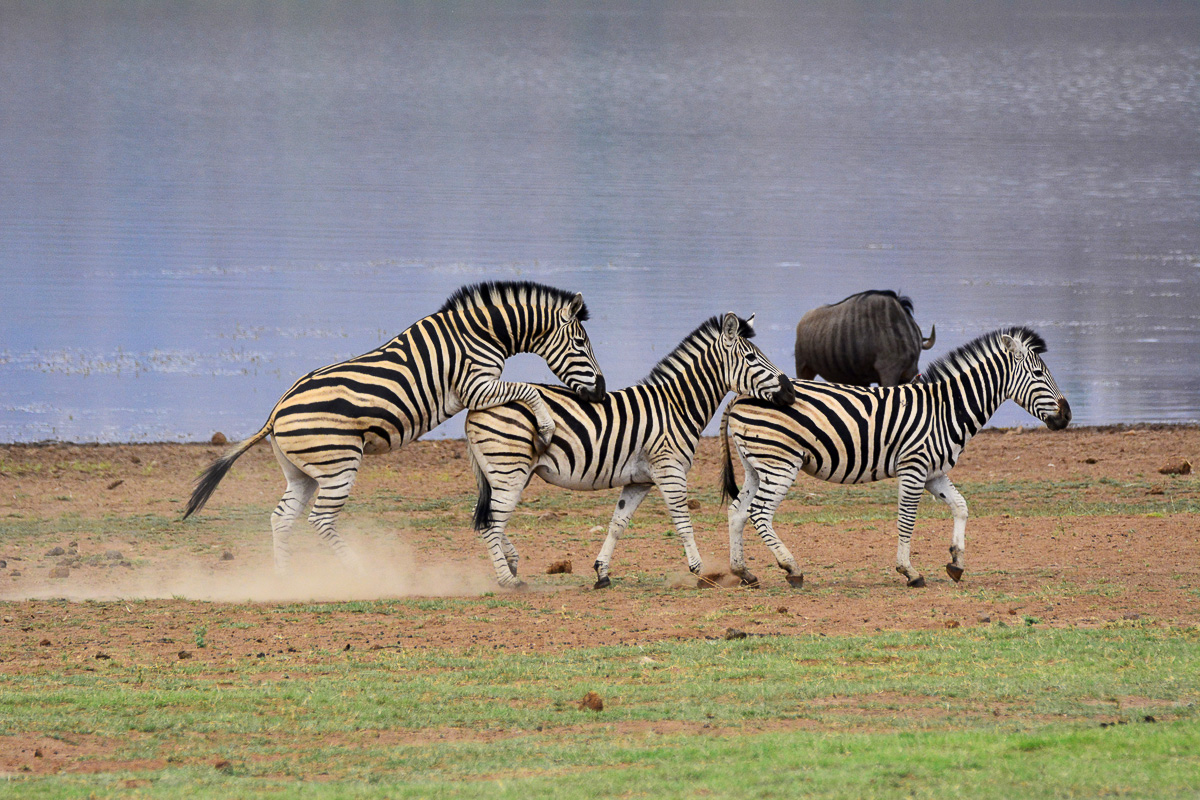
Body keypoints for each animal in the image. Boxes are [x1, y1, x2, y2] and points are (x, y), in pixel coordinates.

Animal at [183, 280, 606, 573]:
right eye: (581, 344)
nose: (602, 391)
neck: (481, 333)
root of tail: (276, 411)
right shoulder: (476, 385)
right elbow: (527, 390)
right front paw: (547, 427)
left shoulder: (480, 389)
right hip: (338, 466)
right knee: (320, 520)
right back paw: (357, 569)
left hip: (302, 473)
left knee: (281, 519)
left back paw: (284, 578)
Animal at [465, 312, 795, 589]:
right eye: (751, 357)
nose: (791, 391)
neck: (676, 405)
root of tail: (475, 407)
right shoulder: (670, 471)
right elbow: (683, 522)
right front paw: (700, 572)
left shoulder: (639, 481)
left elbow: (617, 525)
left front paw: (602, 572)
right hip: (510, 470)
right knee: (492, 525)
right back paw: (508, 579)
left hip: (506, 473)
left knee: (486, 520)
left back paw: (510, 563)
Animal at [720, 326, 1070, 588]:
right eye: (1038, 373)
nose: (1067, 415)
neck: (945, 410)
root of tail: (740, 395)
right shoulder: (914, 468)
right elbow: (907, 520)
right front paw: (909, 571)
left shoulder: (934, 473)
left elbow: (961, 507)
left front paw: (956, 562)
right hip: (780, 463)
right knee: (760, 512)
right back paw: (792, 569)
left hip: (756, 466)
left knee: (738, 512)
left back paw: (743, 572)